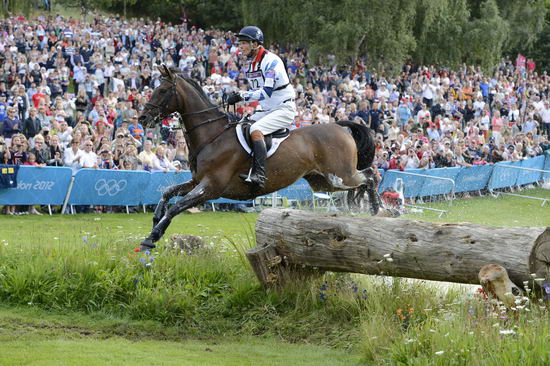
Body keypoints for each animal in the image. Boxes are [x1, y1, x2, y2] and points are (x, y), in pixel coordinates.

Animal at [137, 65, 380, 252]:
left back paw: (375, 208)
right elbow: (167, 194)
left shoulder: (211, 187)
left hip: (340, 176)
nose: (143, 118)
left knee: (369, 177)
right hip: (324, 181)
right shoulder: (197, 182)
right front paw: (155, 220)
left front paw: (152, 237)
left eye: (163, 90)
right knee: (362, 181)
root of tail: (339, 126)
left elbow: (176, 207)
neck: (212, 135)